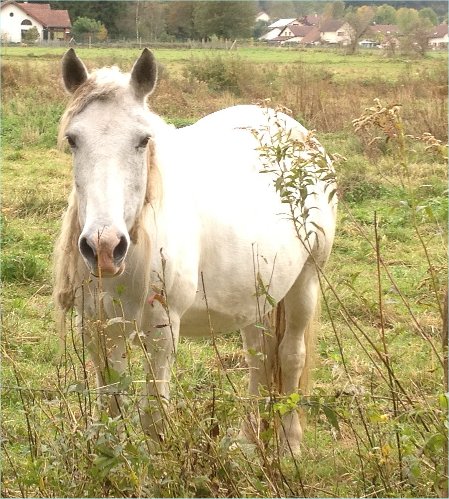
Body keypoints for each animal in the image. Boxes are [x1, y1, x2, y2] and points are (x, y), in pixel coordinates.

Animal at [53, 48, 336, 456]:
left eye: (143, 140)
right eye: (73, 139)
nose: (104, 247)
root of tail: (301, 137)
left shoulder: (162, 329)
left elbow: (154, 416)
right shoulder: (98, 329)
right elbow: (111, 411)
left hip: (305, 283)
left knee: (290, 357)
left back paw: (289, 444)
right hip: (257, 296)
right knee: (259, 358)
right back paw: (249, 441)